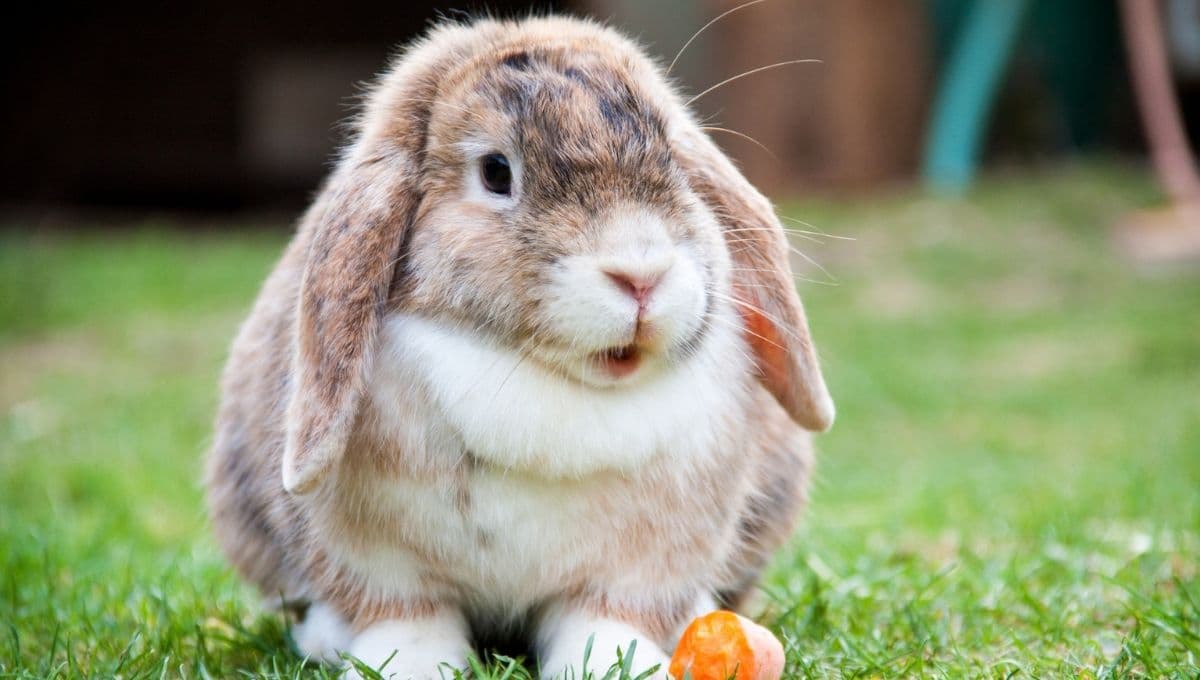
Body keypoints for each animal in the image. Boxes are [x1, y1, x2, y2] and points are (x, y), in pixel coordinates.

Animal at [206, 14, 834, 680]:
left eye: (672, 157)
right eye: (496, 172)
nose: (641, 275)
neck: (547, 380)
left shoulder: (641, 566)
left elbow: (604, 618)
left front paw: (613, 664)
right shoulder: (378, 562)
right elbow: (405, 616)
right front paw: (408, 666)